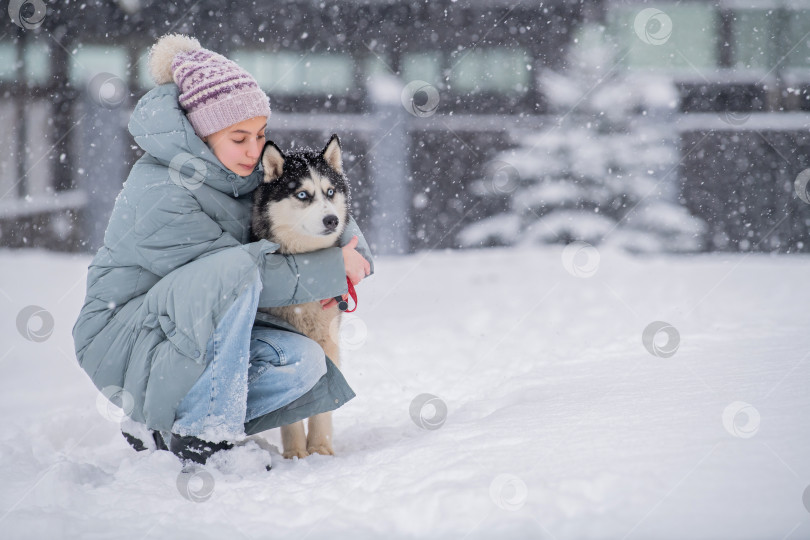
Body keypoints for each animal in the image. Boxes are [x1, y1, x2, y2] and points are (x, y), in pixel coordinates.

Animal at [251, 135, 348, 460]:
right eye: (303, 194)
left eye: (330, 192)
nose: (331, 220)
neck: (306, 267)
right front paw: (295, 453)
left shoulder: (328, 339)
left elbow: (323, 406)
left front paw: (320, 448)